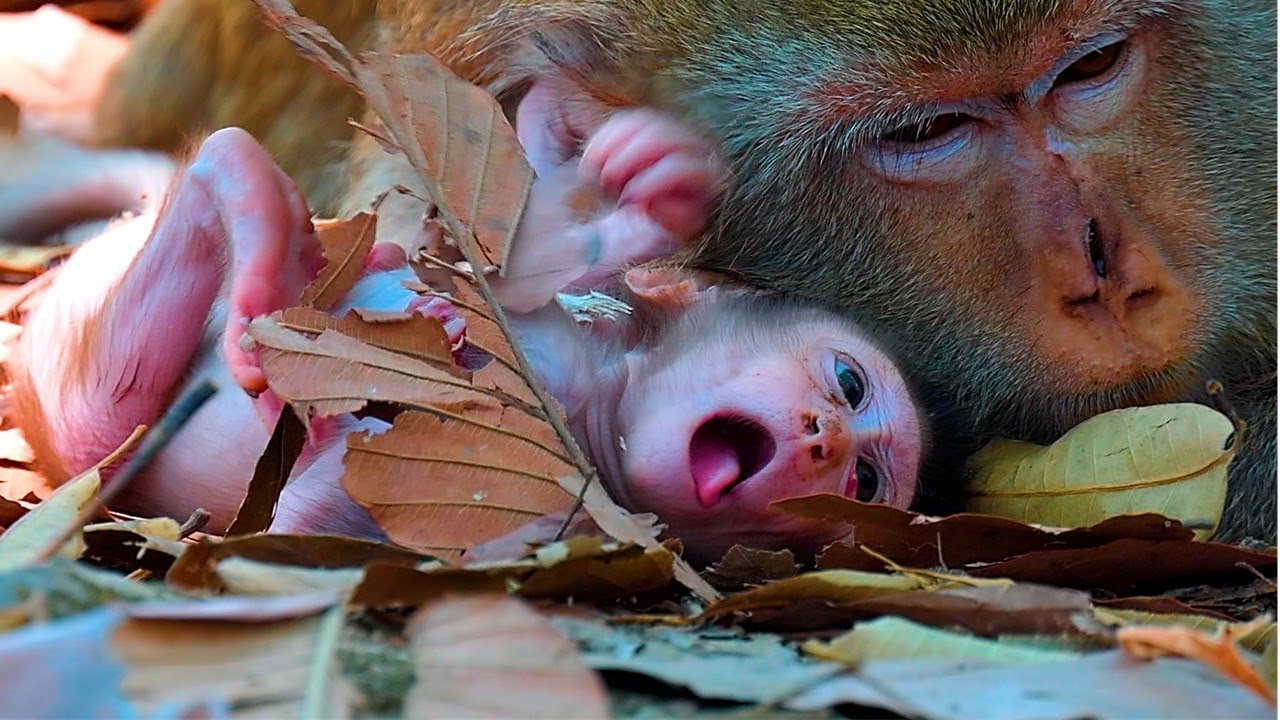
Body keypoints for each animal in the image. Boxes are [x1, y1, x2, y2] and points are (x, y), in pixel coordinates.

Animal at [5, 92, 924, 563]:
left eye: (863, 484)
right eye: (848, 383)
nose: (821, 439)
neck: (589, 411)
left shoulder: (553, 522)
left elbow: (299, 527)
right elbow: (520, 270)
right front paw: (654, 182)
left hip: (78, 399)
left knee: (111, 411)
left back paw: (262, 229)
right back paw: (270, 231)